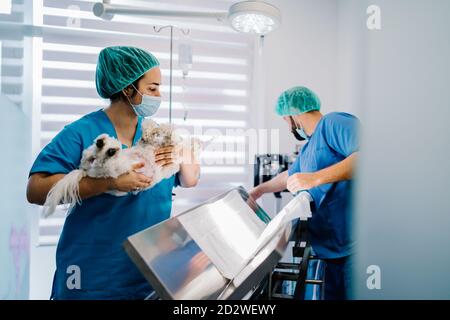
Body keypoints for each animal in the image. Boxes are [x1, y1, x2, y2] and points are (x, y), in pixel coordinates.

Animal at [42, 119, 202, 219]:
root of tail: (88, 173)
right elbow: (150, 131)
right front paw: (159, 129)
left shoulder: (171, 165)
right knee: (88, 156)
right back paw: (104, 143)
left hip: (112, 168)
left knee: (100, 161)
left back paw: (107, 148)